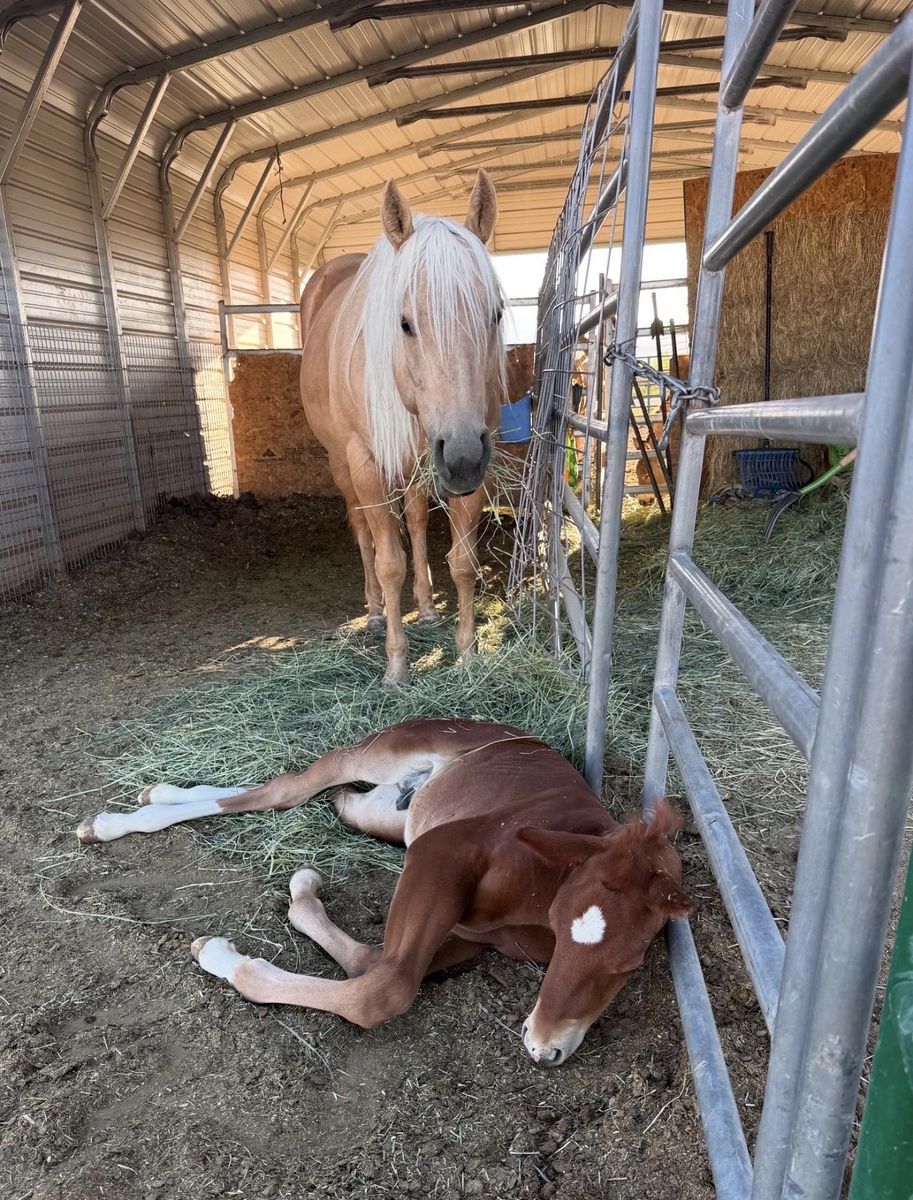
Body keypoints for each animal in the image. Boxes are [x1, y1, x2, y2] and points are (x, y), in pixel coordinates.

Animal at [76, 718, 692, 1066]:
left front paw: (301, 899)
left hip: (379, 814)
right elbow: (383, 988)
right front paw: (225, 957)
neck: (542, 887)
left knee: (300, 795)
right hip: (378, 757)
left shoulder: (470, 933)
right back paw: (117, 821)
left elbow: (370, 960)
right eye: (566, 931)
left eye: (628, 965)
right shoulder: (440, 853)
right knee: (285, 789)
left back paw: (158, 792)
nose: (544, 1050)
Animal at [299, 172, 506, 685]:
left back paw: (427, 607)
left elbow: (463, 562)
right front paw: (397, 666)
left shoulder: (473, 462)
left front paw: (467, 654)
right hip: (343, 465)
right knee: (363, 531)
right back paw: (375, 613)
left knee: (413, 520)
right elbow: (389, 561)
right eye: (405, 323)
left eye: (495, 313)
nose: (462, 457)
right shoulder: (366, 463)